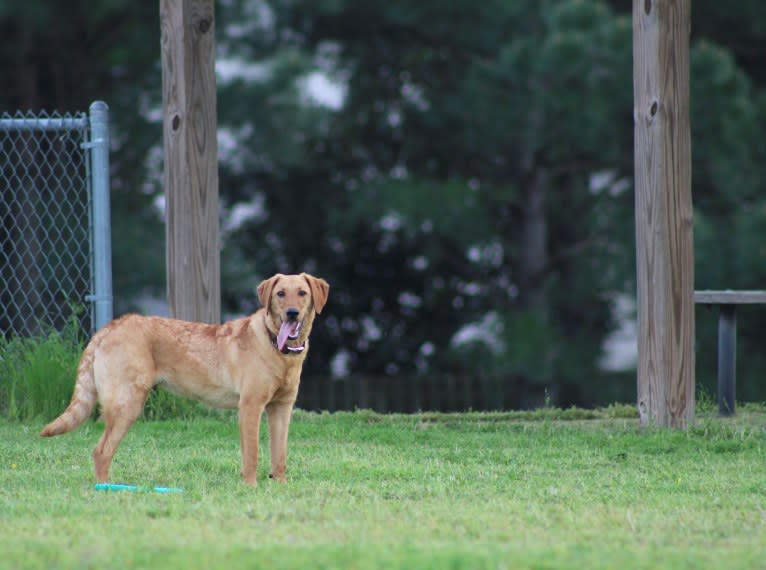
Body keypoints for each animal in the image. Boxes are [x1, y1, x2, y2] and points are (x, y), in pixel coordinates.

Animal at [41, 272, 330, 484]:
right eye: (280, 294)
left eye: (302, 293)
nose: (291, 312)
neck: (279, 350)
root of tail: (108, 329)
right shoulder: (250, 406)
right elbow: (252, 454)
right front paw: (251, 487)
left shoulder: (281, 408)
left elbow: (279, 454)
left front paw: (279, 486)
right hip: (127, 405)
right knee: (101, 452)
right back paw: (107, 489)